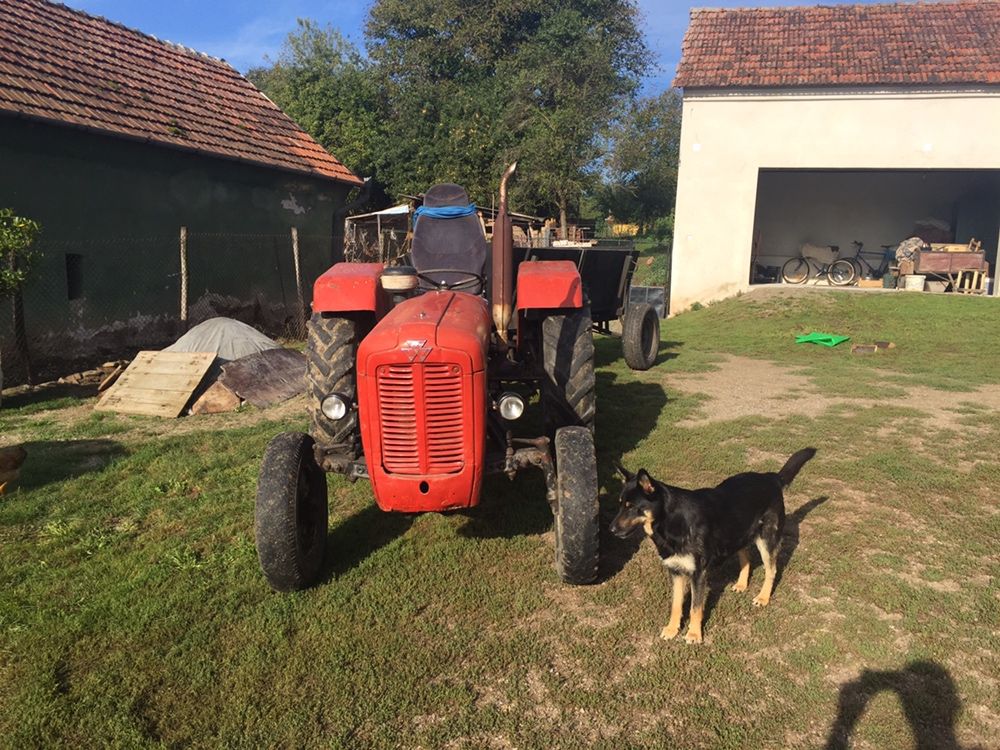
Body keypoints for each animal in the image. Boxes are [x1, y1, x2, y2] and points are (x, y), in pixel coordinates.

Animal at [608, 450, 812, 644]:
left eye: (631, 507)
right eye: (620, 504)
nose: (611, 530)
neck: (671, 520)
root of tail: (771, 477)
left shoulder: (698, 574)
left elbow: (695, 609)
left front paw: (693, 635)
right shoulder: (676, 572)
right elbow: (676, 605)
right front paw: (672, 629)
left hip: (766, 541)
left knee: (771, 570)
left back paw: (763, 598)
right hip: (737, 534)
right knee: (745, 557)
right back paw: (741, 584)